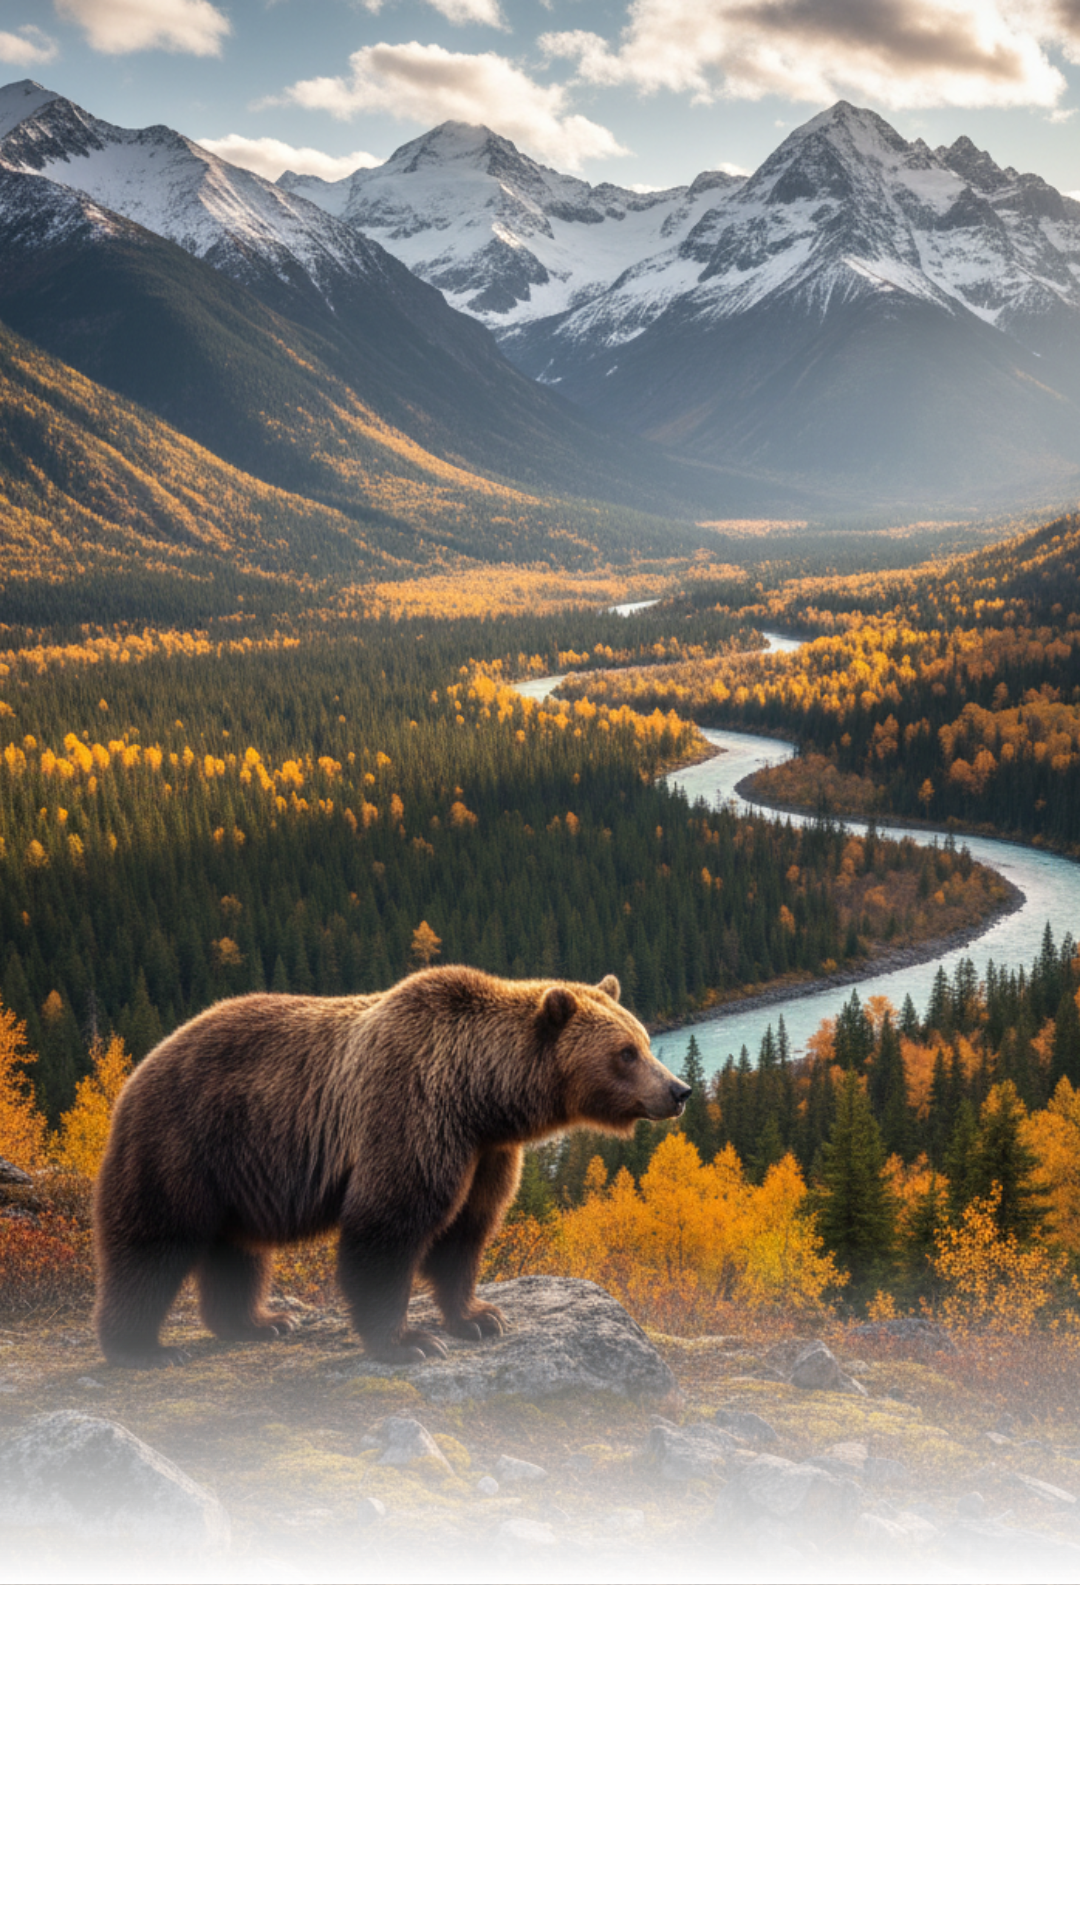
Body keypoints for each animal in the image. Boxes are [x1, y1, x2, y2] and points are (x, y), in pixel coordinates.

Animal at [92, 967, 691, 1368]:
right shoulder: (412, 1114)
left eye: (643, 1040)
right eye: (626, 1051)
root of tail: (142, 1064)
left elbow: (467, 1232)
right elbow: (389, 1227)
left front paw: (480, 1317)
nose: (679, 1090)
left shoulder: (485, 1152)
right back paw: (141, 1347)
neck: (481, 1097)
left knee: (236, 1251)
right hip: (183, 1144)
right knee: (152, 1243)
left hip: (237, 1174)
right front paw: (409, 1341)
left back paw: (261, 1322)